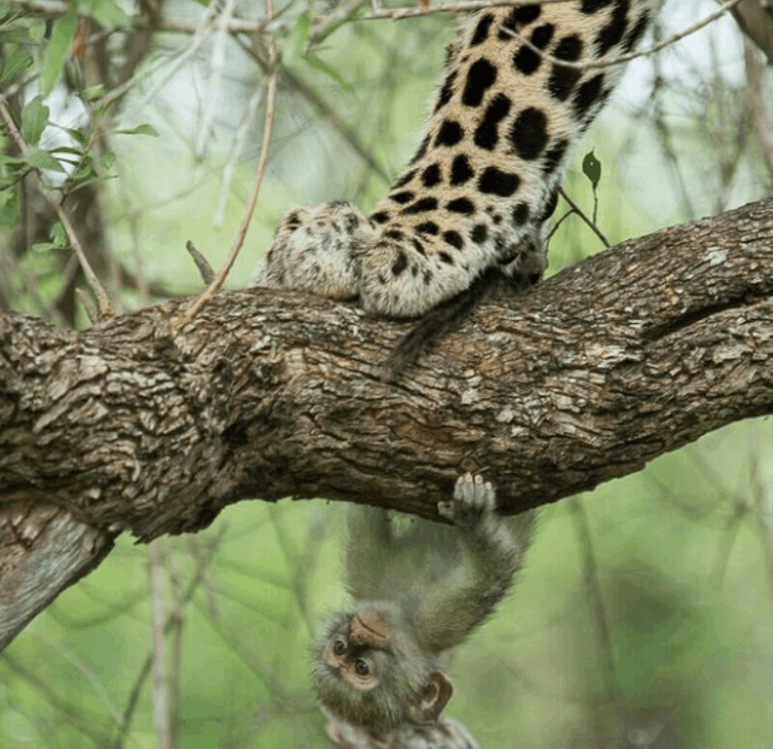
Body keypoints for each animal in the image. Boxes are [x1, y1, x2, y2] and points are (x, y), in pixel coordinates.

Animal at [314, 474, 532, 748]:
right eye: (361, 668)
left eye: (339, 648)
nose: (362, 632)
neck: (402, 607)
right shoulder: (440, 621)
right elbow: (495, 570)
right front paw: (473, 519)